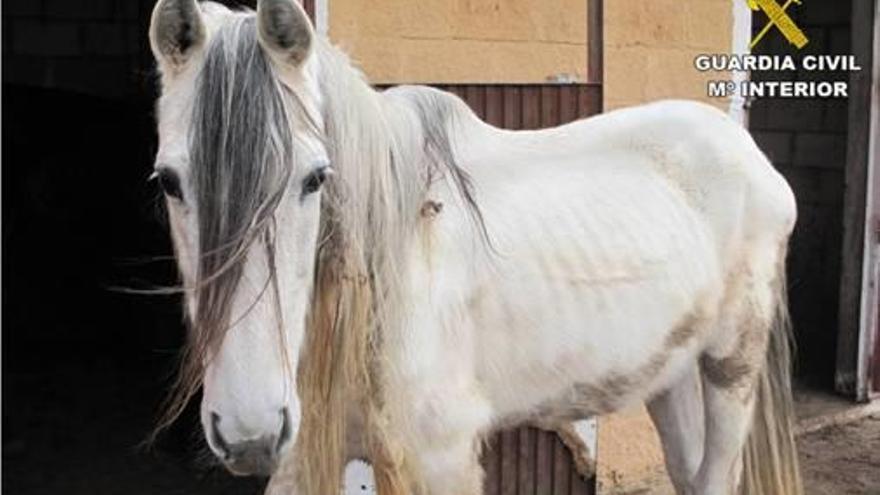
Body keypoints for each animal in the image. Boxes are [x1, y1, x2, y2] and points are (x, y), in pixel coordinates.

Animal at [148, 0, 800, 495]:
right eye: (169, 182)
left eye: (315, 178)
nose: (250, 431)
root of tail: (749, 153)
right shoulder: (303, 461)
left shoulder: (439, 460)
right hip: (670, 373)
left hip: (730, 369)